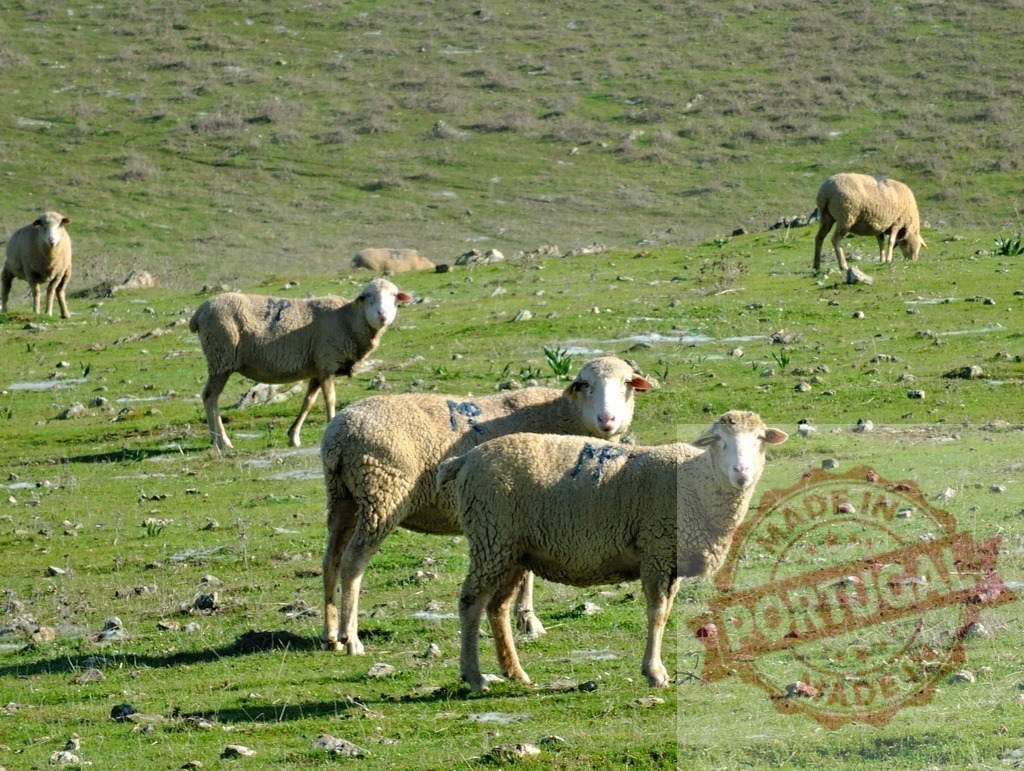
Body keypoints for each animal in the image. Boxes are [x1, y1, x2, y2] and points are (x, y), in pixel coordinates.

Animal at [189, 278, 410, 451]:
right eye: (368, 296)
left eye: (394, 296)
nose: (382, 315)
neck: (348, 320)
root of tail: (198, 313)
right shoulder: (327, 362)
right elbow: (330, 400)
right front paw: (330, 427)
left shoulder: (317, 368)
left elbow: (308, 402)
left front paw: (293, 436)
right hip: (221, 357)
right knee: (210, 397)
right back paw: (222, 442)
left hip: (220, 359)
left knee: (211, 397)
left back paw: (216, 440)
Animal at [320, 356, 654, 655]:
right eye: (585, 385)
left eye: (627, 384)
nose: (607, 420)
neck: (563, 413)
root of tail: (339, 434)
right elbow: (528, 575)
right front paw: (529, 620)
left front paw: (525, 618)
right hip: (382, 496)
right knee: (352, 563)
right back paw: (351, 638)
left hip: (343, 497)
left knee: (331, 560)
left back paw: (331, 635)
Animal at [437, 410, 788, 691]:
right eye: (718, 440)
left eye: (760, 438)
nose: (741, 473)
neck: (697, 483)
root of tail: (466, 459)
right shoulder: (657, 550)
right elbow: (657, 613)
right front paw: (654, 673)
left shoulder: (670, 558)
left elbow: (665, 613)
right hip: (491, 537)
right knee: (471, 602)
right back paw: (475, 677)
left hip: (511, 549)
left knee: (497, 607)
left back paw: (514, 672)